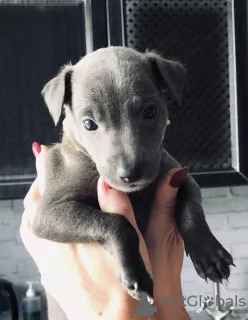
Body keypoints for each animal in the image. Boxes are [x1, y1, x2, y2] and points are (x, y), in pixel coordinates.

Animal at [37, 47, 233, 308]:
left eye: (150, 110)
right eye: (88, 124)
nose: (130, 173)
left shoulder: (179, 176)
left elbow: (190, 208)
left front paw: (209, 253)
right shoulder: (48, 213)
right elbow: (117, 222)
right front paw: (137, 275)